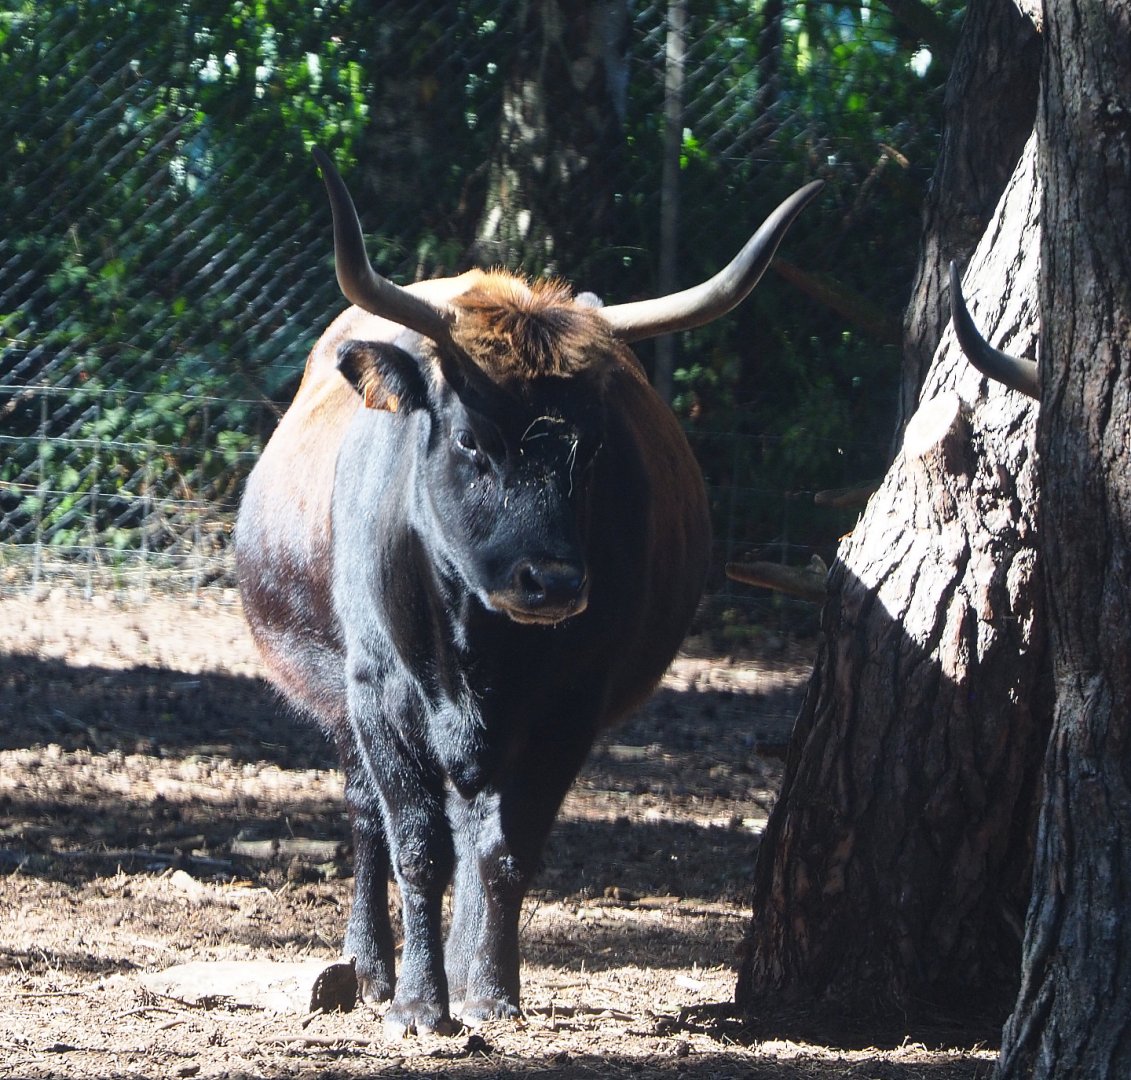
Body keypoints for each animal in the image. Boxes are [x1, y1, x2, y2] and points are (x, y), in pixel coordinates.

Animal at [236, 148, 822, 1037]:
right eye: (472, 439)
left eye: (597, 450)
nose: (549, 581)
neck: (474, 640)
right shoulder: (377, 695)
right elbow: (413, 843)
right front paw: (416, 1003)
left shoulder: (569, 703)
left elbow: (507, 848)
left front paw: (488, 991)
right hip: (340, 702)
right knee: (368, 820)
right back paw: (368, 970)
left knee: (476, 821)